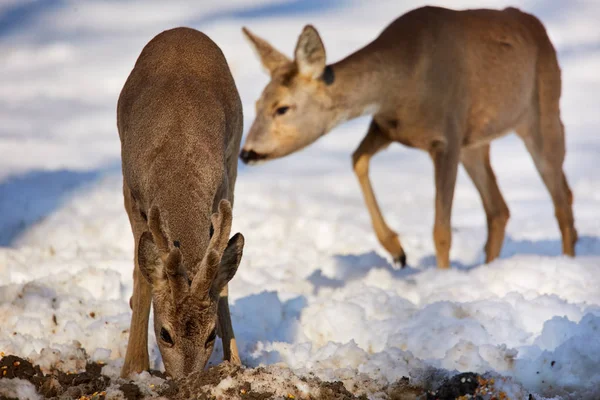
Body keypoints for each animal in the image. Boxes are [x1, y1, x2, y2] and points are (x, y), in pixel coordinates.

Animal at [117, 28, 244, 378]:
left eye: (210, 335)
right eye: (164, 333)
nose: (187, 380)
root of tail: (183, 31)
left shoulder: (222, 190)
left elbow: (221, 277)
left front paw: (235, 363)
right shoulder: (132, 195)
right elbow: (142, 275)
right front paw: (133, 368)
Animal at [239, 5, 576, 268]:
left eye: (282, 108)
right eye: (255, 104)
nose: (247, 152)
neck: (402, 84)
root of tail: (538, 28)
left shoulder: (446, 137)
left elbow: (441, 230)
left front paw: (441, 279)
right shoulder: (386, 126)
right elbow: (357, 159)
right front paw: (397, 251)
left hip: (543, 112)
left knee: (561, 196)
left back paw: (568, 261)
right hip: (476, 143)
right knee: (499, 209)